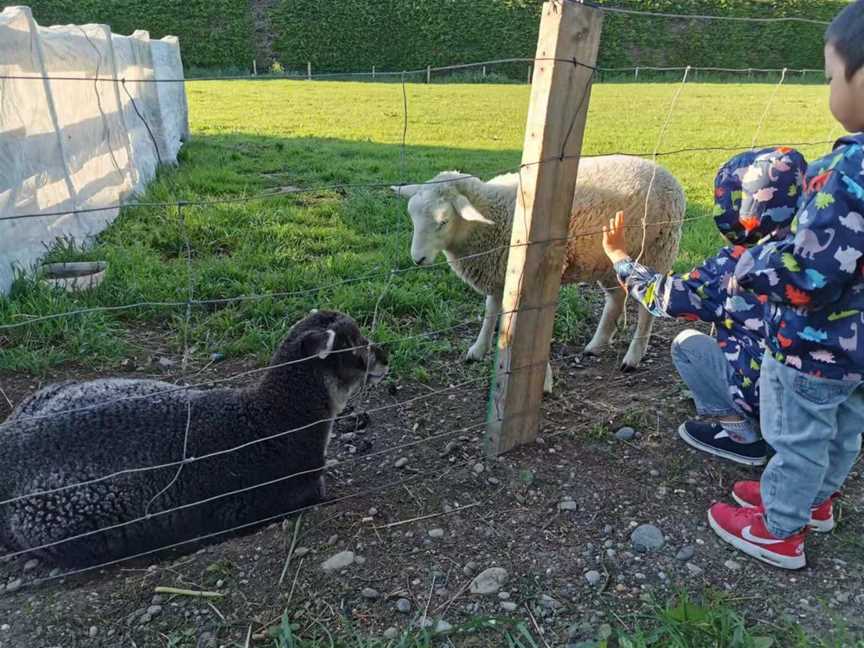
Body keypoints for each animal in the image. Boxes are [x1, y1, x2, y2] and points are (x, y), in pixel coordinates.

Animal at [390, 156, 680, 390]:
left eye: (443, 221)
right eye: (412, 217)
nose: (417, 259)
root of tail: (666, 172)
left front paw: (544, 379)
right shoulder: (498, 272)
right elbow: (490, 311)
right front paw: (478, 349)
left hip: (658, 249)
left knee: (647, 309)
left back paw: (633, 356)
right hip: (606, 260)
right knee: (616, 299)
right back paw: (597, 344)